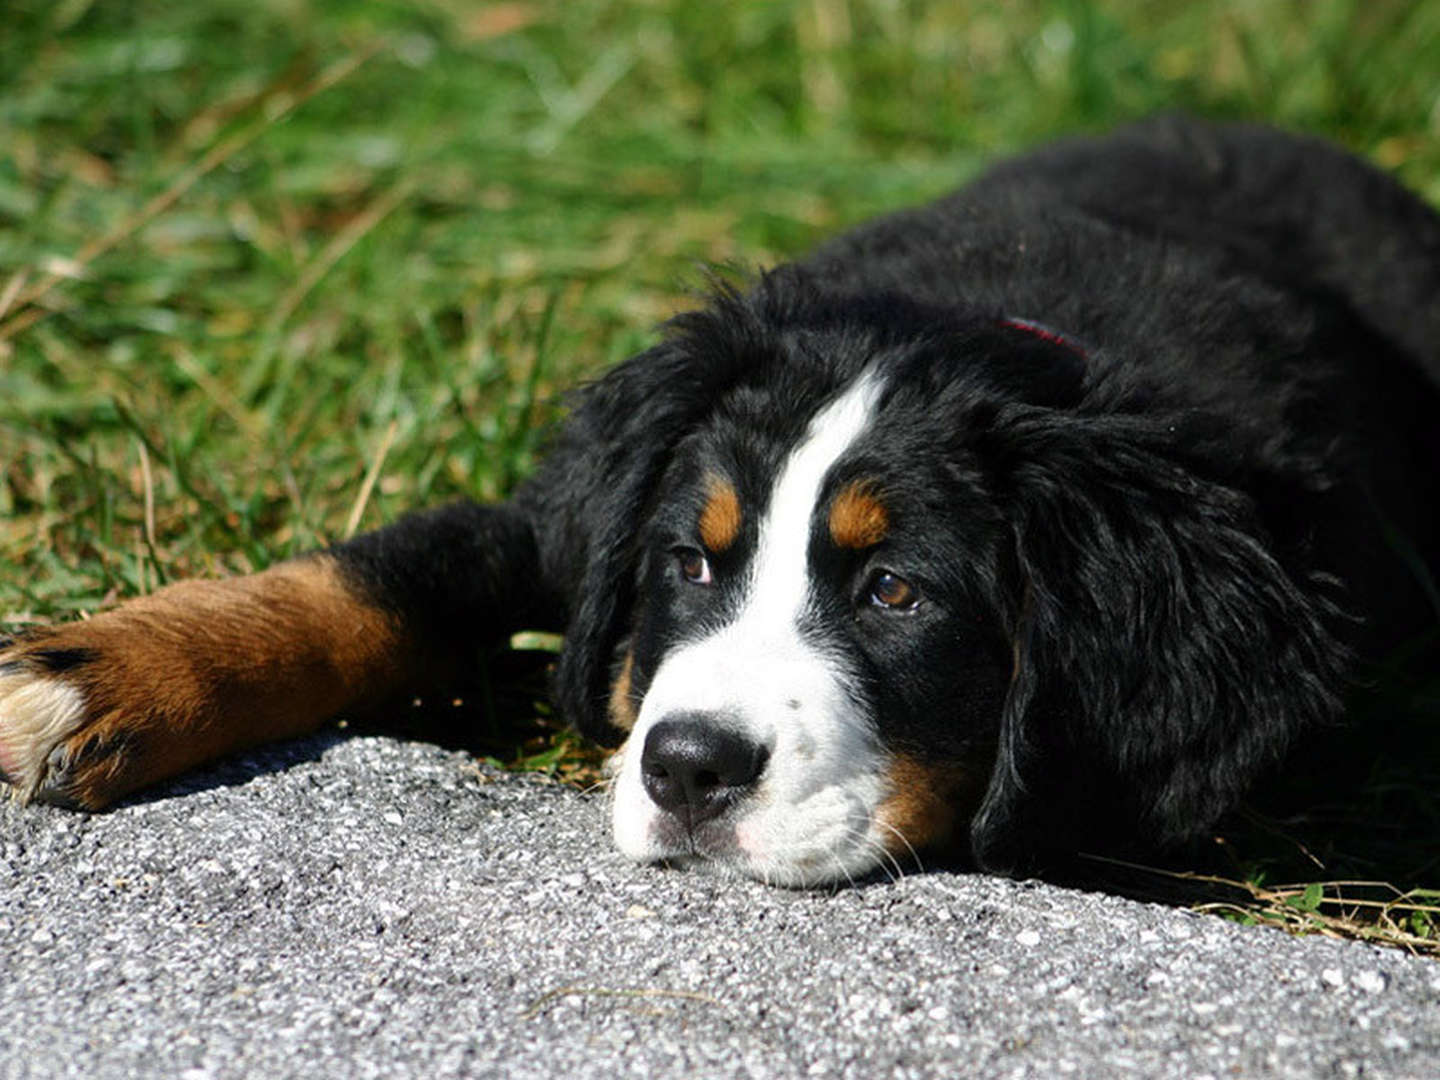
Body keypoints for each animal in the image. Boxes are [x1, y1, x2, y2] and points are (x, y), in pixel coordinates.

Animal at [2, 118, 1440, 887]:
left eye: (895, 591)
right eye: (689, 567)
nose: (688, 769)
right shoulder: (562, 527)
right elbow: (377, 580)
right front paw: (102, 674)